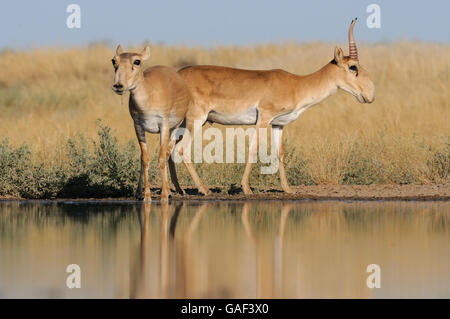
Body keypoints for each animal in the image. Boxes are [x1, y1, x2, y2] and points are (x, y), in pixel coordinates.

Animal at [178, 19, 374, 198]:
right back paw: (204, 190)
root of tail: (177, 74)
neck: (297, 85)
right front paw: (247, 188)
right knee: (182, 150)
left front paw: (288, 189)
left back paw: (180, 190)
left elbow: (280, 152)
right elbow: (254, 148)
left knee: (172, 149)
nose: (370, 94)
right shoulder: (263, 119)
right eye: (353, 67)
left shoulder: (279, 124)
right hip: (197, 120)